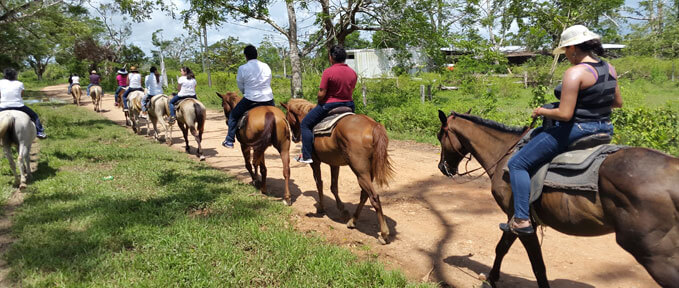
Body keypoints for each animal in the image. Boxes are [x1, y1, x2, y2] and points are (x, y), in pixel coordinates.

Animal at [280, 99, 396, 245]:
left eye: (287, 117)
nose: (295, 138)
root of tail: (373, 126)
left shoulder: (315, 162)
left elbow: (319, 184)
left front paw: (321, 208)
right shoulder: (334, 164)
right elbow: (333, 187)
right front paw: (342, 209)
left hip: (360, 172)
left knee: (373, 197)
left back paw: (384, 234)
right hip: (368, 172)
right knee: (364, 194)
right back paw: (352, 221)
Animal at [438, 109, 676, 286]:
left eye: (441, 137)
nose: (442, 168)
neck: (505, 153)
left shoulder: (520, 219)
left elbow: (532, 262)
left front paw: (491, 280)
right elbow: (505, 249)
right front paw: (492, 278)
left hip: (656, 256)